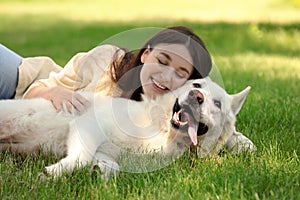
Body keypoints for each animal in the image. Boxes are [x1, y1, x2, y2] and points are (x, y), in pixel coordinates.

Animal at [0, 77, 255, 179]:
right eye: (197, 84)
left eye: (218, 103)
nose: (196, 96)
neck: (162, 131)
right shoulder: (86, 125)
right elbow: (81, 158)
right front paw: (52, 173)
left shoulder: (104, 150)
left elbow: (109, 166)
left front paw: (98, 173)